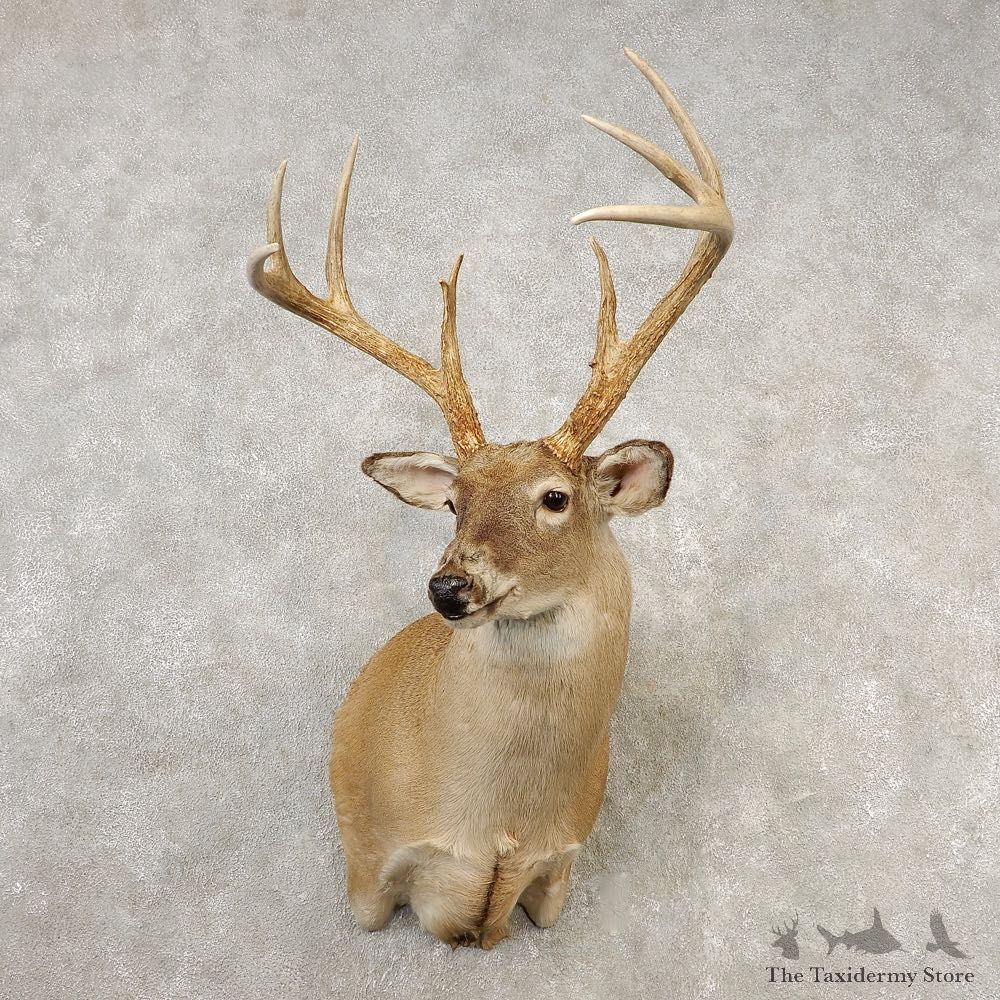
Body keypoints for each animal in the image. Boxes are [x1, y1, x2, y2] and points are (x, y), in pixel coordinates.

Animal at [246, 49, 733, 949]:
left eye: (555, 498)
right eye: (452, 503)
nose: (450, 585)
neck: (497, 825)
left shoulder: (562, 870)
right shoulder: (368, 868)